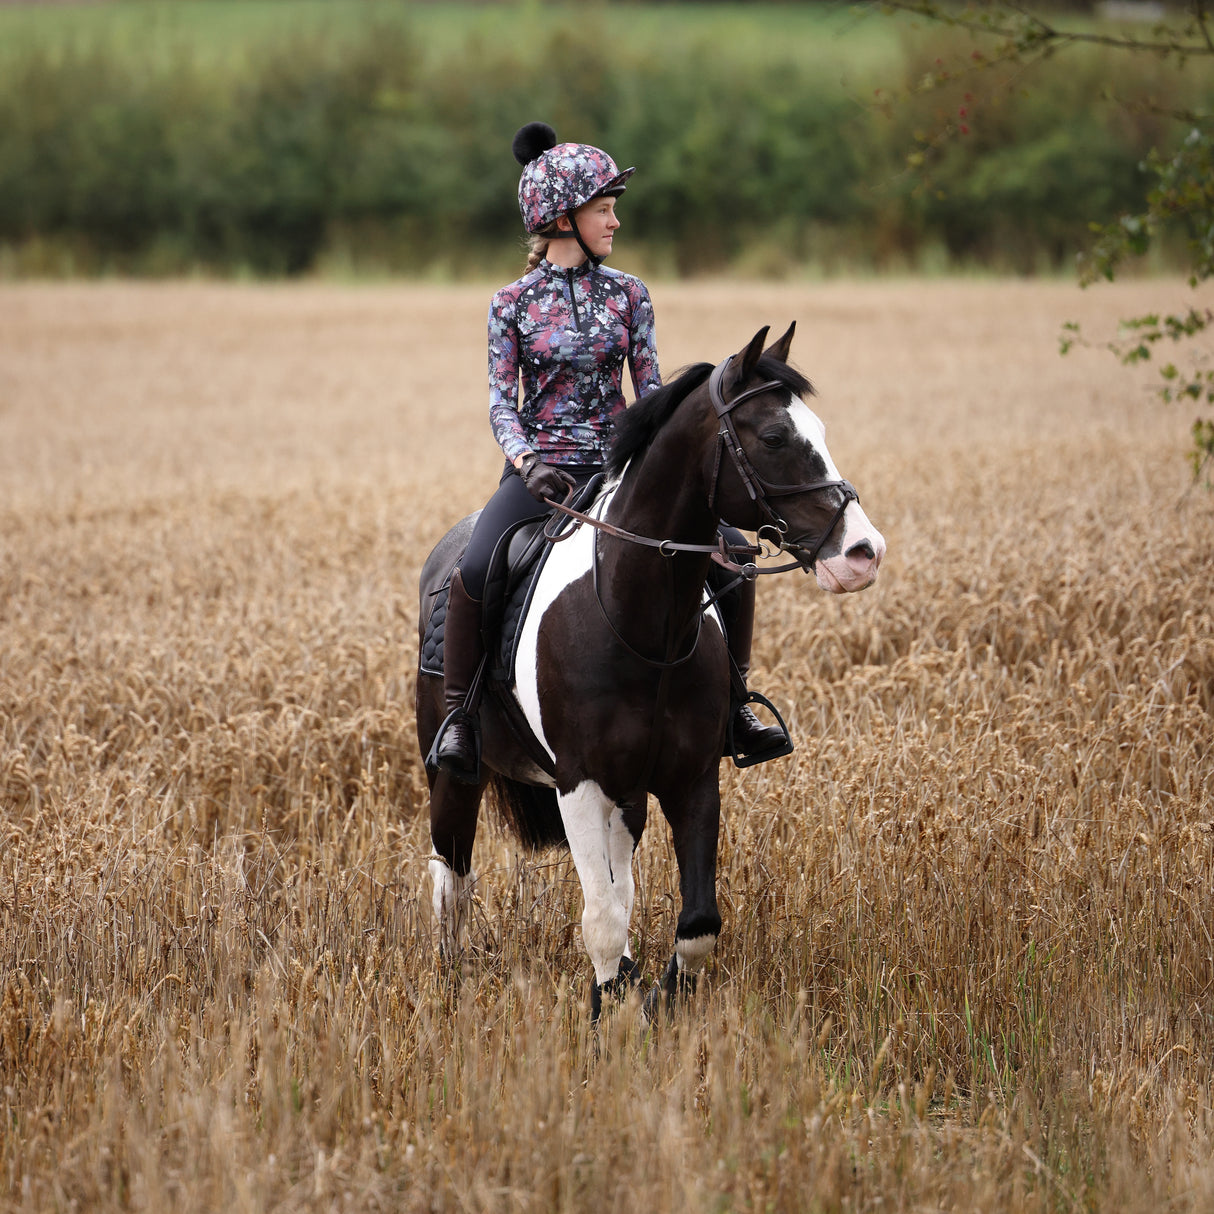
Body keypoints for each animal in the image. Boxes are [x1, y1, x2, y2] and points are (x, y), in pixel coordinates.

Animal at [415, 322, 883, 1014]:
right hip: (455, 776)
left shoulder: (691, 779)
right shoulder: (578, 784)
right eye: (774, 437)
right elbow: (602, 921)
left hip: (628, 792)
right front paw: (609, 1016)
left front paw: (661, 999)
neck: (640, 625)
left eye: (818, 429)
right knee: (453, 877)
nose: (862, 553)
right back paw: (450, 984)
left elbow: (696, 924)